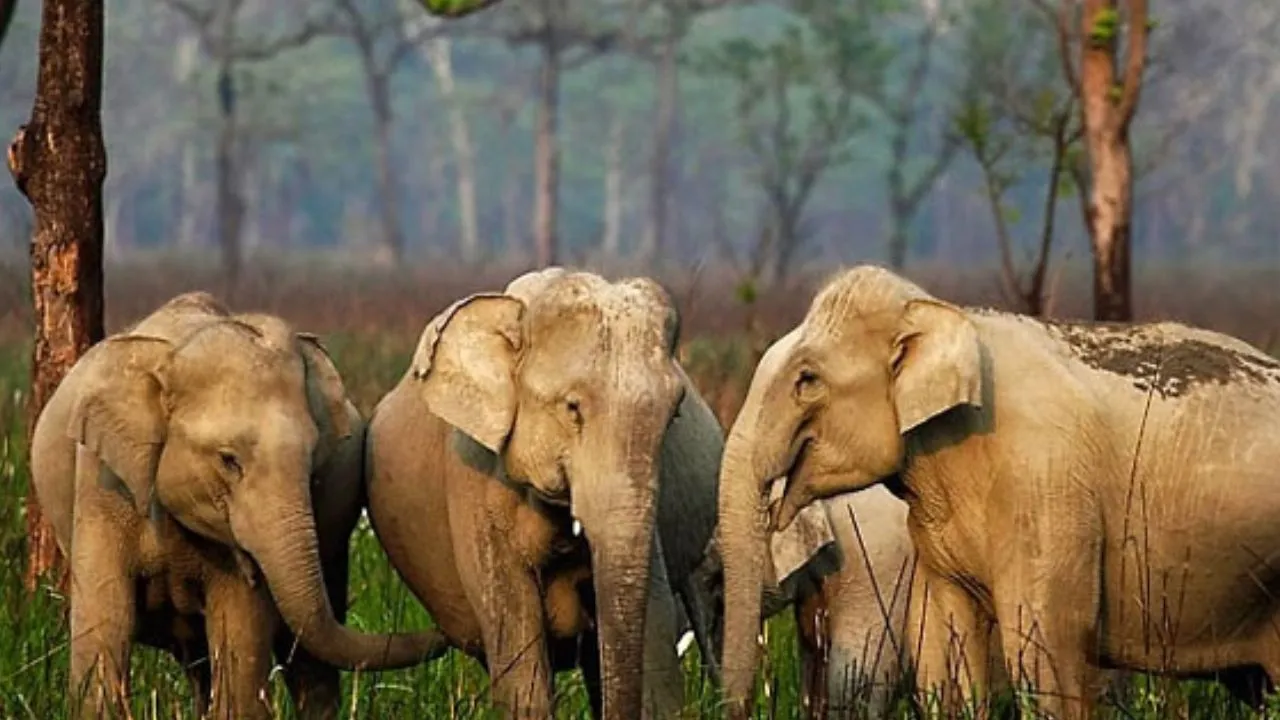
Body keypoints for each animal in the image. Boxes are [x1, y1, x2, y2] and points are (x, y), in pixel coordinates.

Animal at [29, 291, 448, 720]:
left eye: (313, 465)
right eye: (229, 460)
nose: (443, 632)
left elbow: (240, 632)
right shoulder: (103, 483)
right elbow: (105, 623)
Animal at [717, 263, 1280, 719]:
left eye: (807, 380)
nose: (739, 705)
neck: (945, 314)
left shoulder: (1046, 485)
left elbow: (1046, 648)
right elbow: (948, 643)